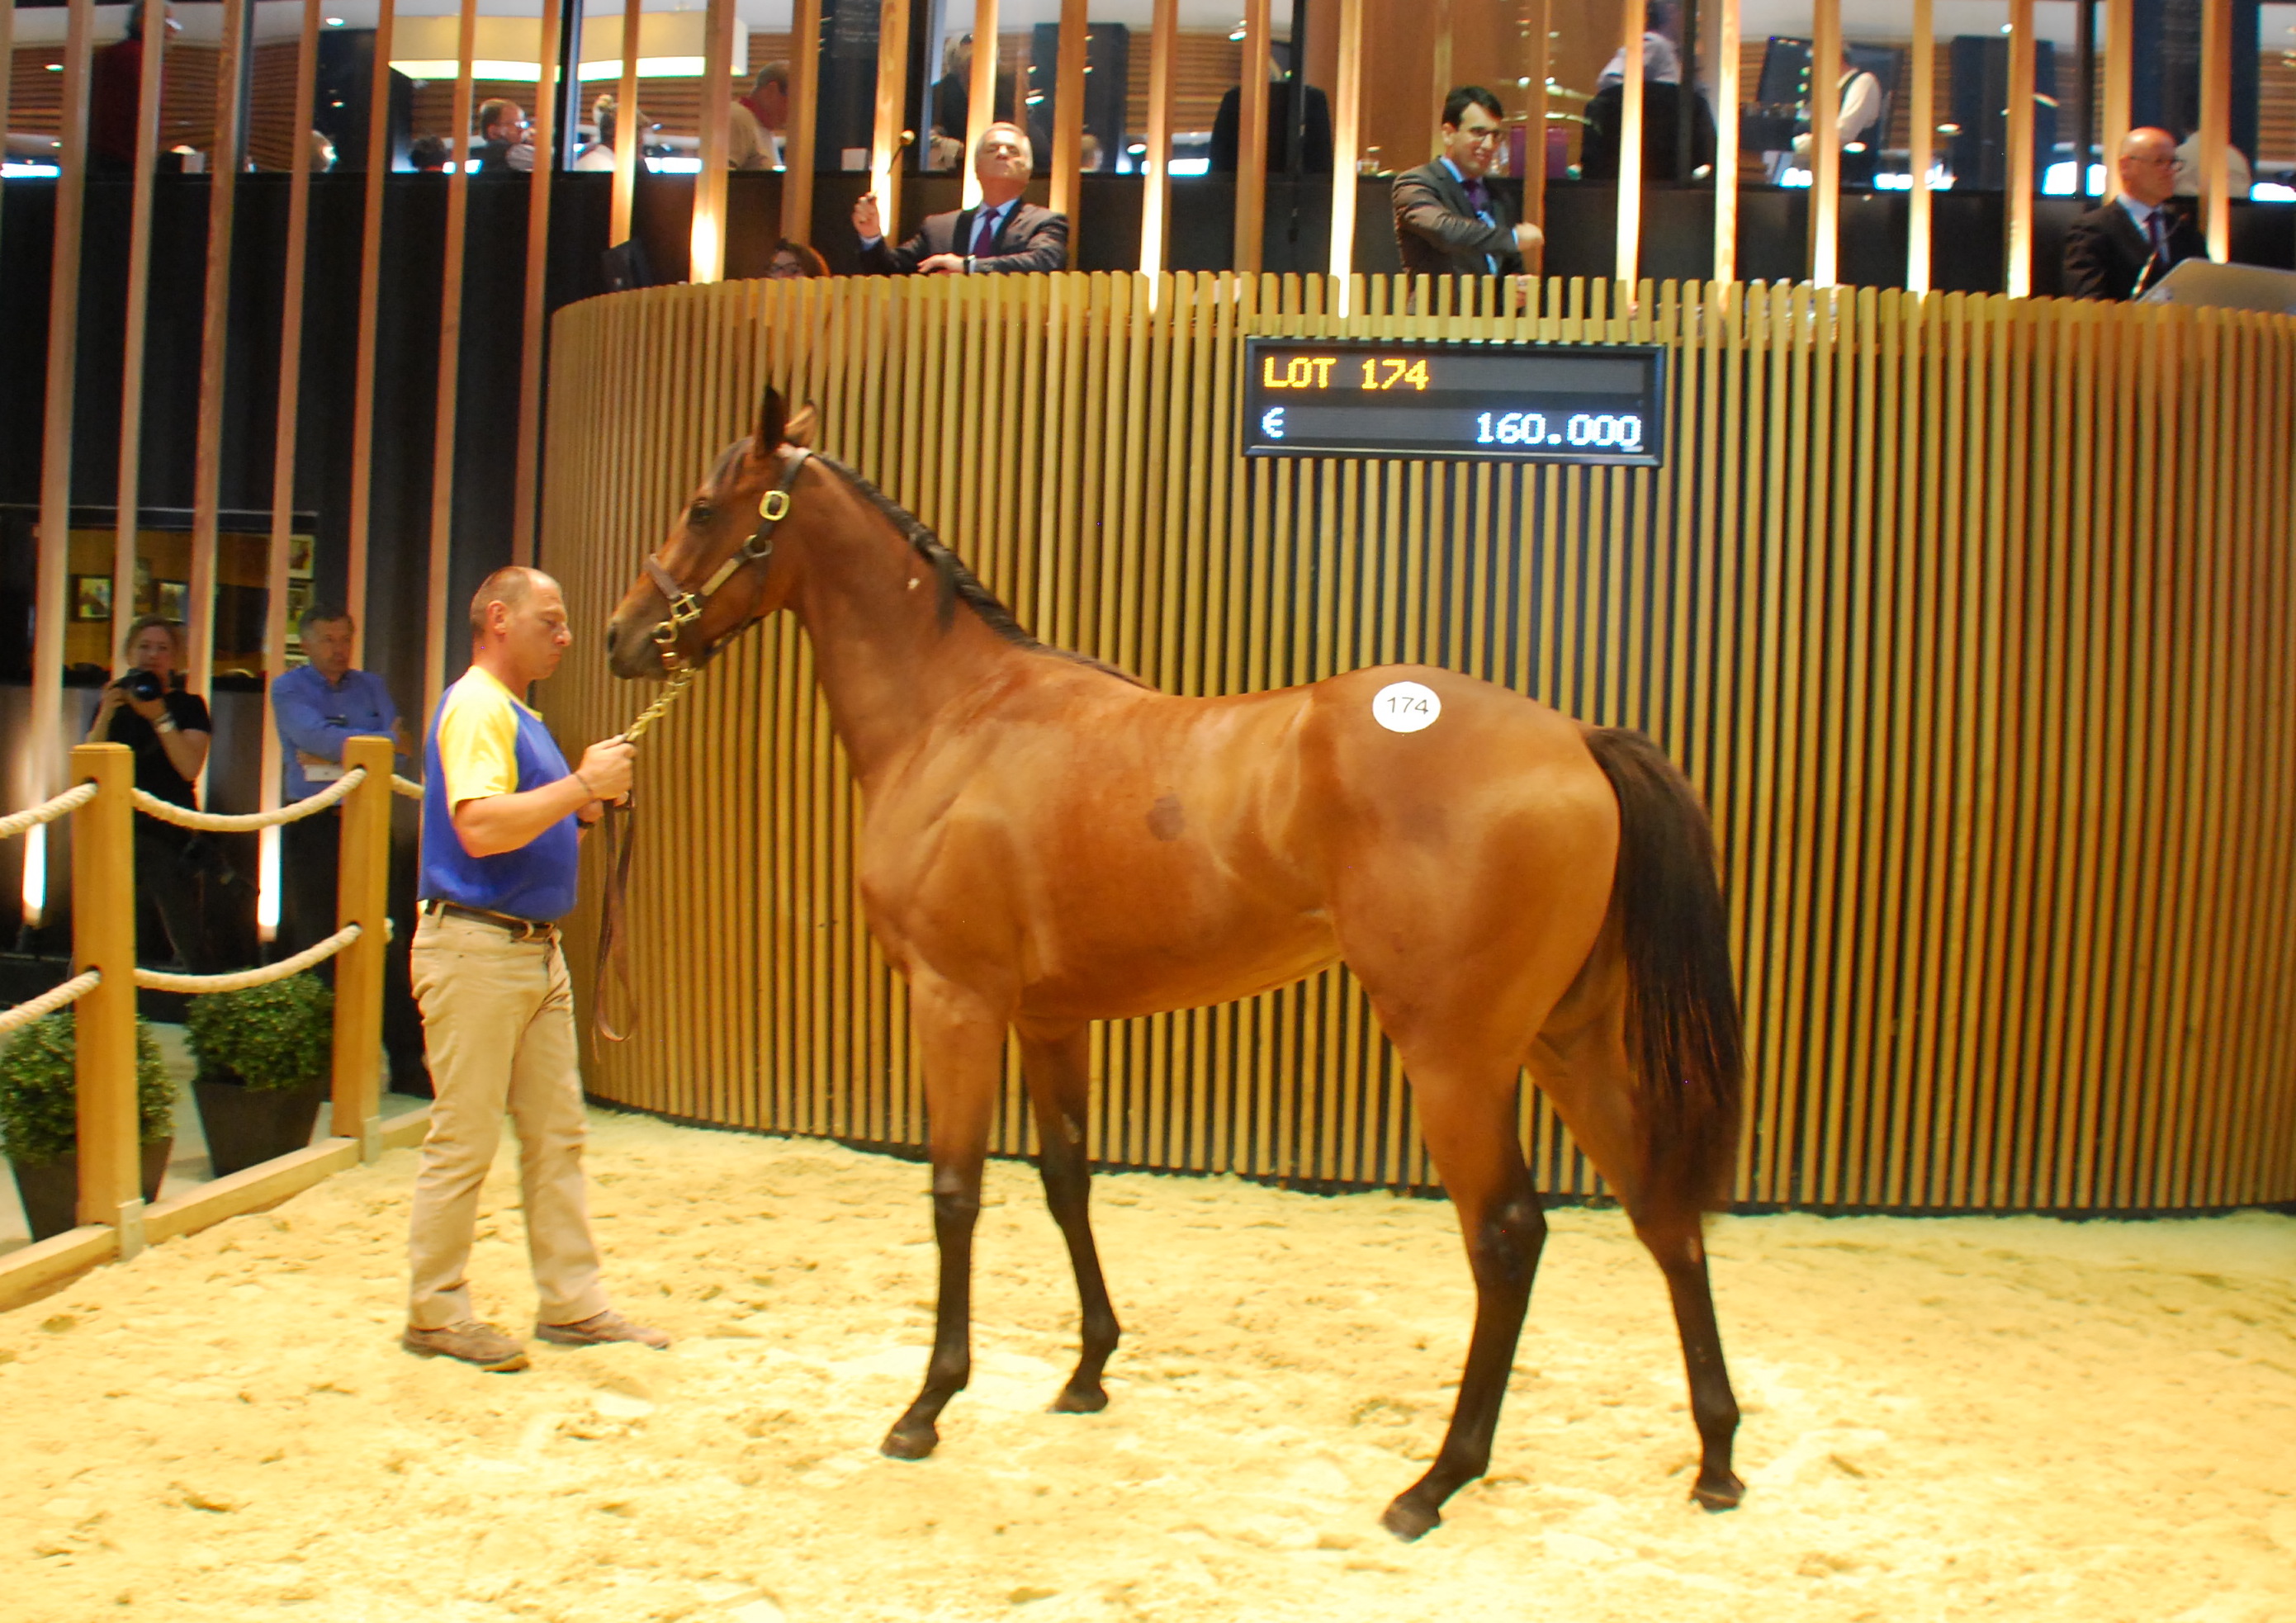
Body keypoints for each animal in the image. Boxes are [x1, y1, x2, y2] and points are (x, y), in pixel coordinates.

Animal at [601, 390, 1744, 1533]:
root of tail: (1577, 737)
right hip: (1569, 1040)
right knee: (1662, 1208)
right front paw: (1087, 1371)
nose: (620, 634)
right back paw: (1717, 1459)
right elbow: (1067, 1179)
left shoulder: (955, 1001)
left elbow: (955, 1191)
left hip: (1458, 1060)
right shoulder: (1048, 1017)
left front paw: (927, 1405)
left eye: (703, 507)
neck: (955, 718)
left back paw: (1435, 1481)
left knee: (1507, 1237)